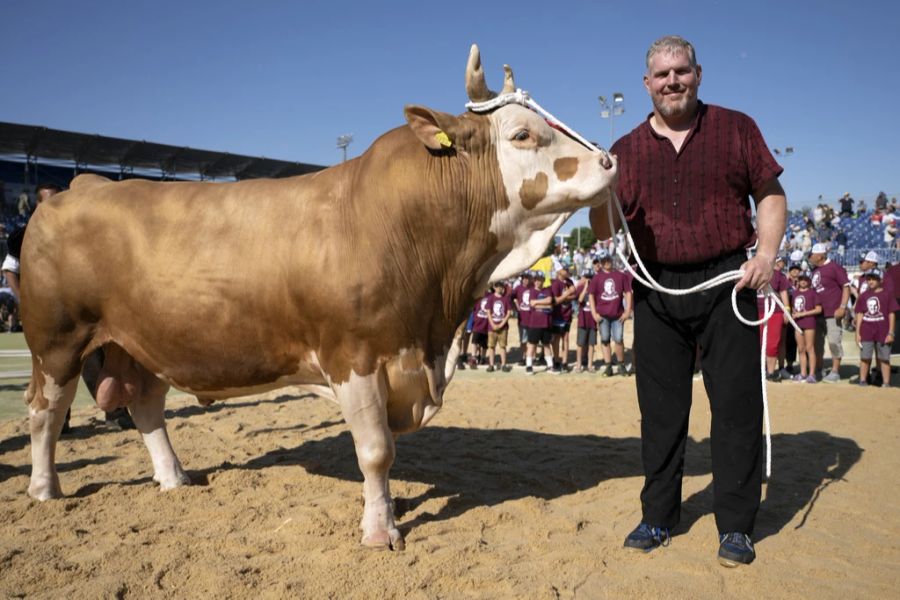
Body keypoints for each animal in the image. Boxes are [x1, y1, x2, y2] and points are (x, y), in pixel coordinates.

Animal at [21, 44, 616, 548]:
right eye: (522, 135)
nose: (609, 161)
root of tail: (79, 186)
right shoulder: (353, 355)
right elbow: (376, 451)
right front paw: (380, 532)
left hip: (141, 341)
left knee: (144, 405)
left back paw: (174, 478)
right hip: (56, 341)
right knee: (45, 412)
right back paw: (45, 489)